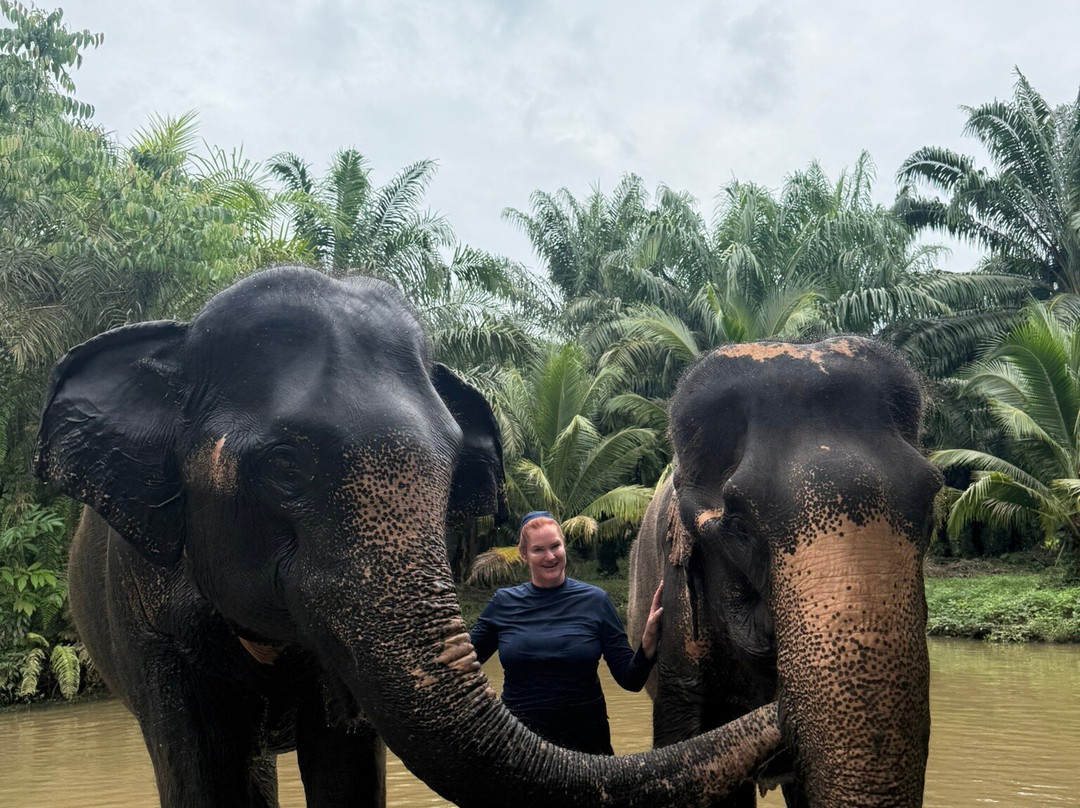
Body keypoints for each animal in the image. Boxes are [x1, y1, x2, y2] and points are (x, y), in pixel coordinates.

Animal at [35, 266, 782, 808]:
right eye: (284, 466)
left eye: (451, 471)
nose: (781, 712)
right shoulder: (147, 623)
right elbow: (198, 776)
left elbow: (345, 766)